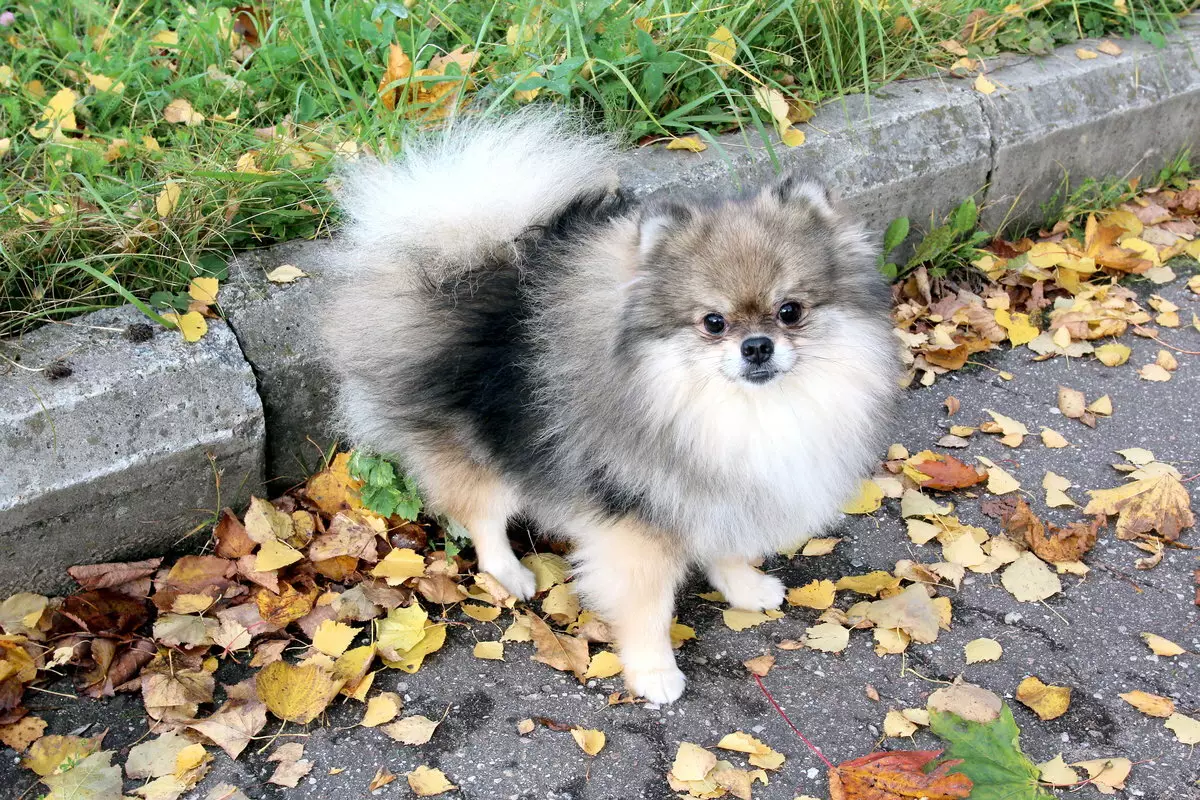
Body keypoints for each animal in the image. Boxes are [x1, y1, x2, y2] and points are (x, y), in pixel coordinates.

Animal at [324, 112, 902, 700]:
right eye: (713, 322)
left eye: (790, 311)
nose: (757, 346)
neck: (734, 409)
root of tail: (459, 261)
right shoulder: (636, 519)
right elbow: (647, 606)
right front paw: (654, 672)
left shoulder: (712, 491)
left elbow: (724, 546)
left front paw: (743, 587)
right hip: (480, 452)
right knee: (482, 518)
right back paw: (510, 575)